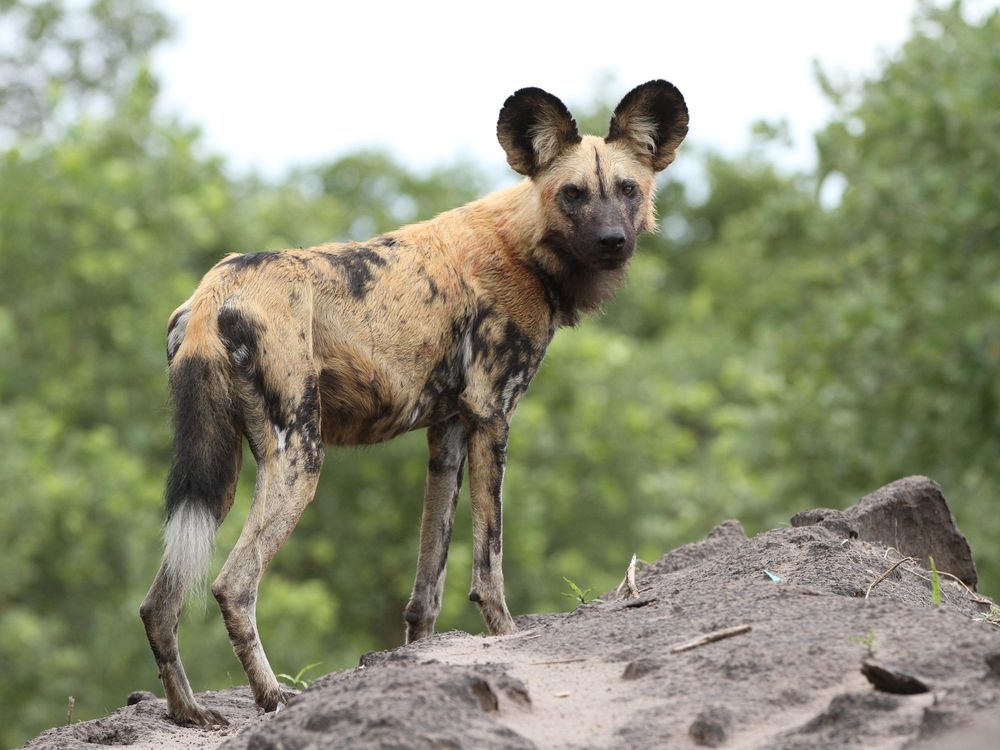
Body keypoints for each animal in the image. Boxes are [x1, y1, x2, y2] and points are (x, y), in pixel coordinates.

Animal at [139, 79, 688, 724]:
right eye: (572, 194)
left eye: (628, 189)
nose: (612, 242)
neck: (525, 245)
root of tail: (214, 290)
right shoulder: (492, 417)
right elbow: (489, 565)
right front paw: (507, 637)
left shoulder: (447, 435)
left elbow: (428, 584)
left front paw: (417, 661)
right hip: (299, 458)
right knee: (233, 585)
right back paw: (272, 697)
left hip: (217, 475)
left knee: (158, 603)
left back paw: (188, 712)